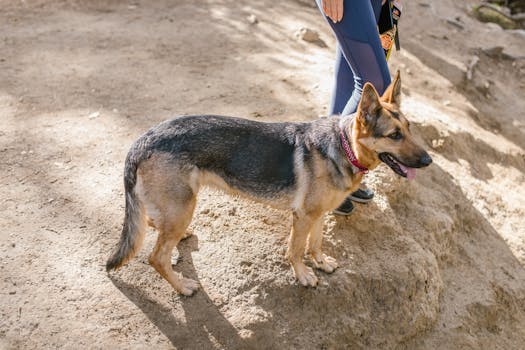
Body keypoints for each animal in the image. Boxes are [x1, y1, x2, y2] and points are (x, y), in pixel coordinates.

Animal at [105, 71, 430, 296]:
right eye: (394, 135)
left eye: (410, 128)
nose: (428, 161)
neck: (343, 145)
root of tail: (142, 140)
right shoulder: (303, 217)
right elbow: (296, 249)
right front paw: (303, 275)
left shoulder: (318, 215)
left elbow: (316, 242)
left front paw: (320, 262)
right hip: (183, 206)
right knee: (156, 257)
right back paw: (183, 286)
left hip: (179, 206)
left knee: (152, 224)